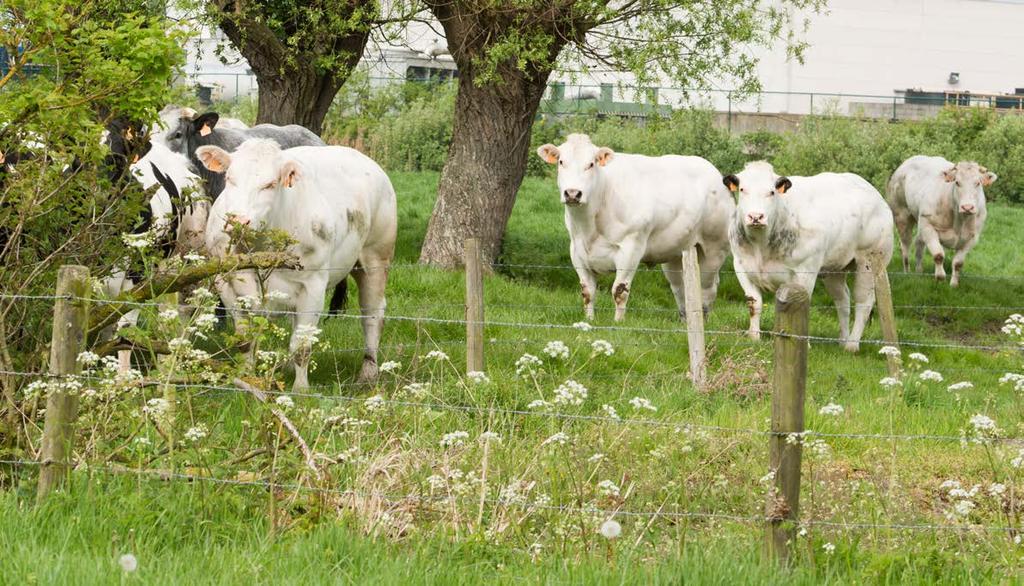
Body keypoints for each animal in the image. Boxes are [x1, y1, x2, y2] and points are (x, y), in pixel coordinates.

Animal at [194, 140, 395, 391]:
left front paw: (301, 389)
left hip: (375, 258)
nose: (238, 221)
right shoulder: (226, 283)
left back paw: (368, 372)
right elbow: (245, 339)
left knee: (372, 314)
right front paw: (246, 378)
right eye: (230, 178)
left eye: (270, 184)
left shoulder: (313, 286)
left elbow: (302, 346)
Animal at [536, 134, 737, 319]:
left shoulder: (631, 248)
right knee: (681, 288)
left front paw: (618, 323)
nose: (572, 193)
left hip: (714, 249)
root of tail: (715, 174)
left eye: (591, 164)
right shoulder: (576, 251)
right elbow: (587, 292)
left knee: (707, 288)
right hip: (676, 254)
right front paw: (589, 320)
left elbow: (619, 291)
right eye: (561, 162)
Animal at [724, 162, 892, 350]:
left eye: (772, 192)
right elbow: (754, 304)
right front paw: (754, 337)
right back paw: (842, 341)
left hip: (869, 262)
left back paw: (851, 345)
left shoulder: (806, 270)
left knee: (864, 302)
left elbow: (802, 305)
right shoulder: (741, 266)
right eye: (742, 189)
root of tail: (875, 194)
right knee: (843, 300)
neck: (762, 245)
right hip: (834, 269)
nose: (756, 217)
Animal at [884, 154, 995, 284]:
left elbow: (958, 263)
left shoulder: (972, 237)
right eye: (957, 182)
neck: (959, 220)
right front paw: (940, 279)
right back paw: (907, 272)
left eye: (978, 183)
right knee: (905, 245)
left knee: (918, 243)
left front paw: (953, 284)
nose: (967, 207)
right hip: (902, 215)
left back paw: (919, 272)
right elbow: (938, 255)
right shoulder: (928, 226)